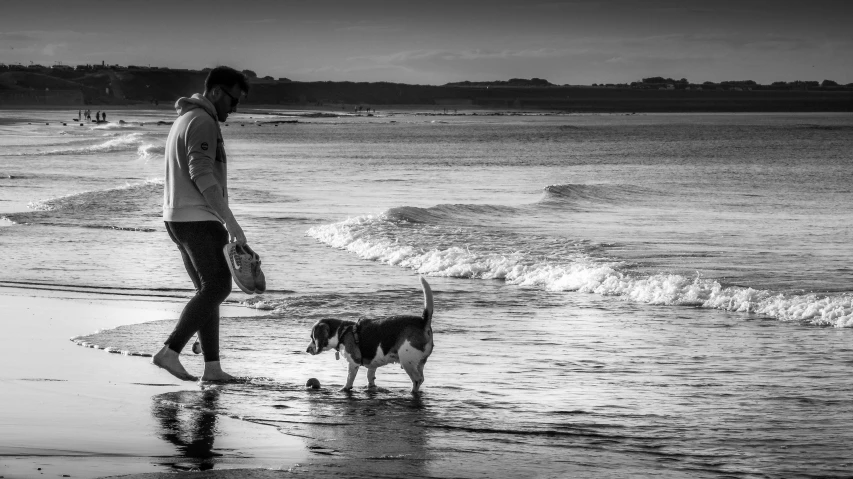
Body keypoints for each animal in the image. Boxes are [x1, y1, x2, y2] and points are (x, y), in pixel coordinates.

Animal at [304, 278, 432, 394]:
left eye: (312, 337)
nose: (306, 350)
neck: (342, 332)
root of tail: (422, 321)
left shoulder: (353, 363)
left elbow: (349, 379)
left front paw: (344, 389)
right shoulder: (372, 365)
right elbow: (370, 377)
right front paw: (371, 387)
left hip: (407, 360)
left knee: (417, 380)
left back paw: (412, 392)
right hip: (419, 363)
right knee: (421, 378)